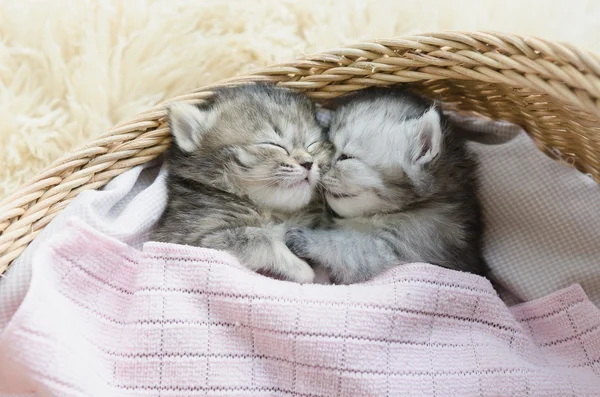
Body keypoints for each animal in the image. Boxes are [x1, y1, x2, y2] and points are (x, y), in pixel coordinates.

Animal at [152, 83, 332, 282]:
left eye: (312, 145)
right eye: (273, 144)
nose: (308, 163)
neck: (273, 212)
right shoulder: (193, 238)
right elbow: (259, 237)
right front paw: (302, 269)